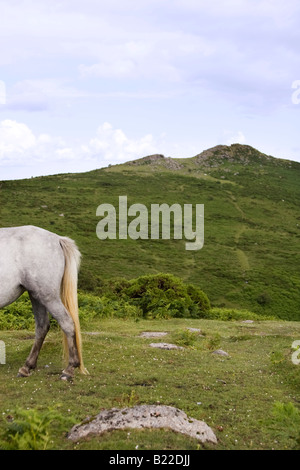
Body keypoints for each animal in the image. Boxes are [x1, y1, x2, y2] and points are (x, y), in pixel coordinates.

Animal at [0, 226, 88, 380]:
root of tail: (58, 239)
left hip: (48, 297)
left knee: (67, 323)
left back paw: (69, 370)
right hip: (36, 296)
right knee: (42, 326)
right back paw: (26, 367)